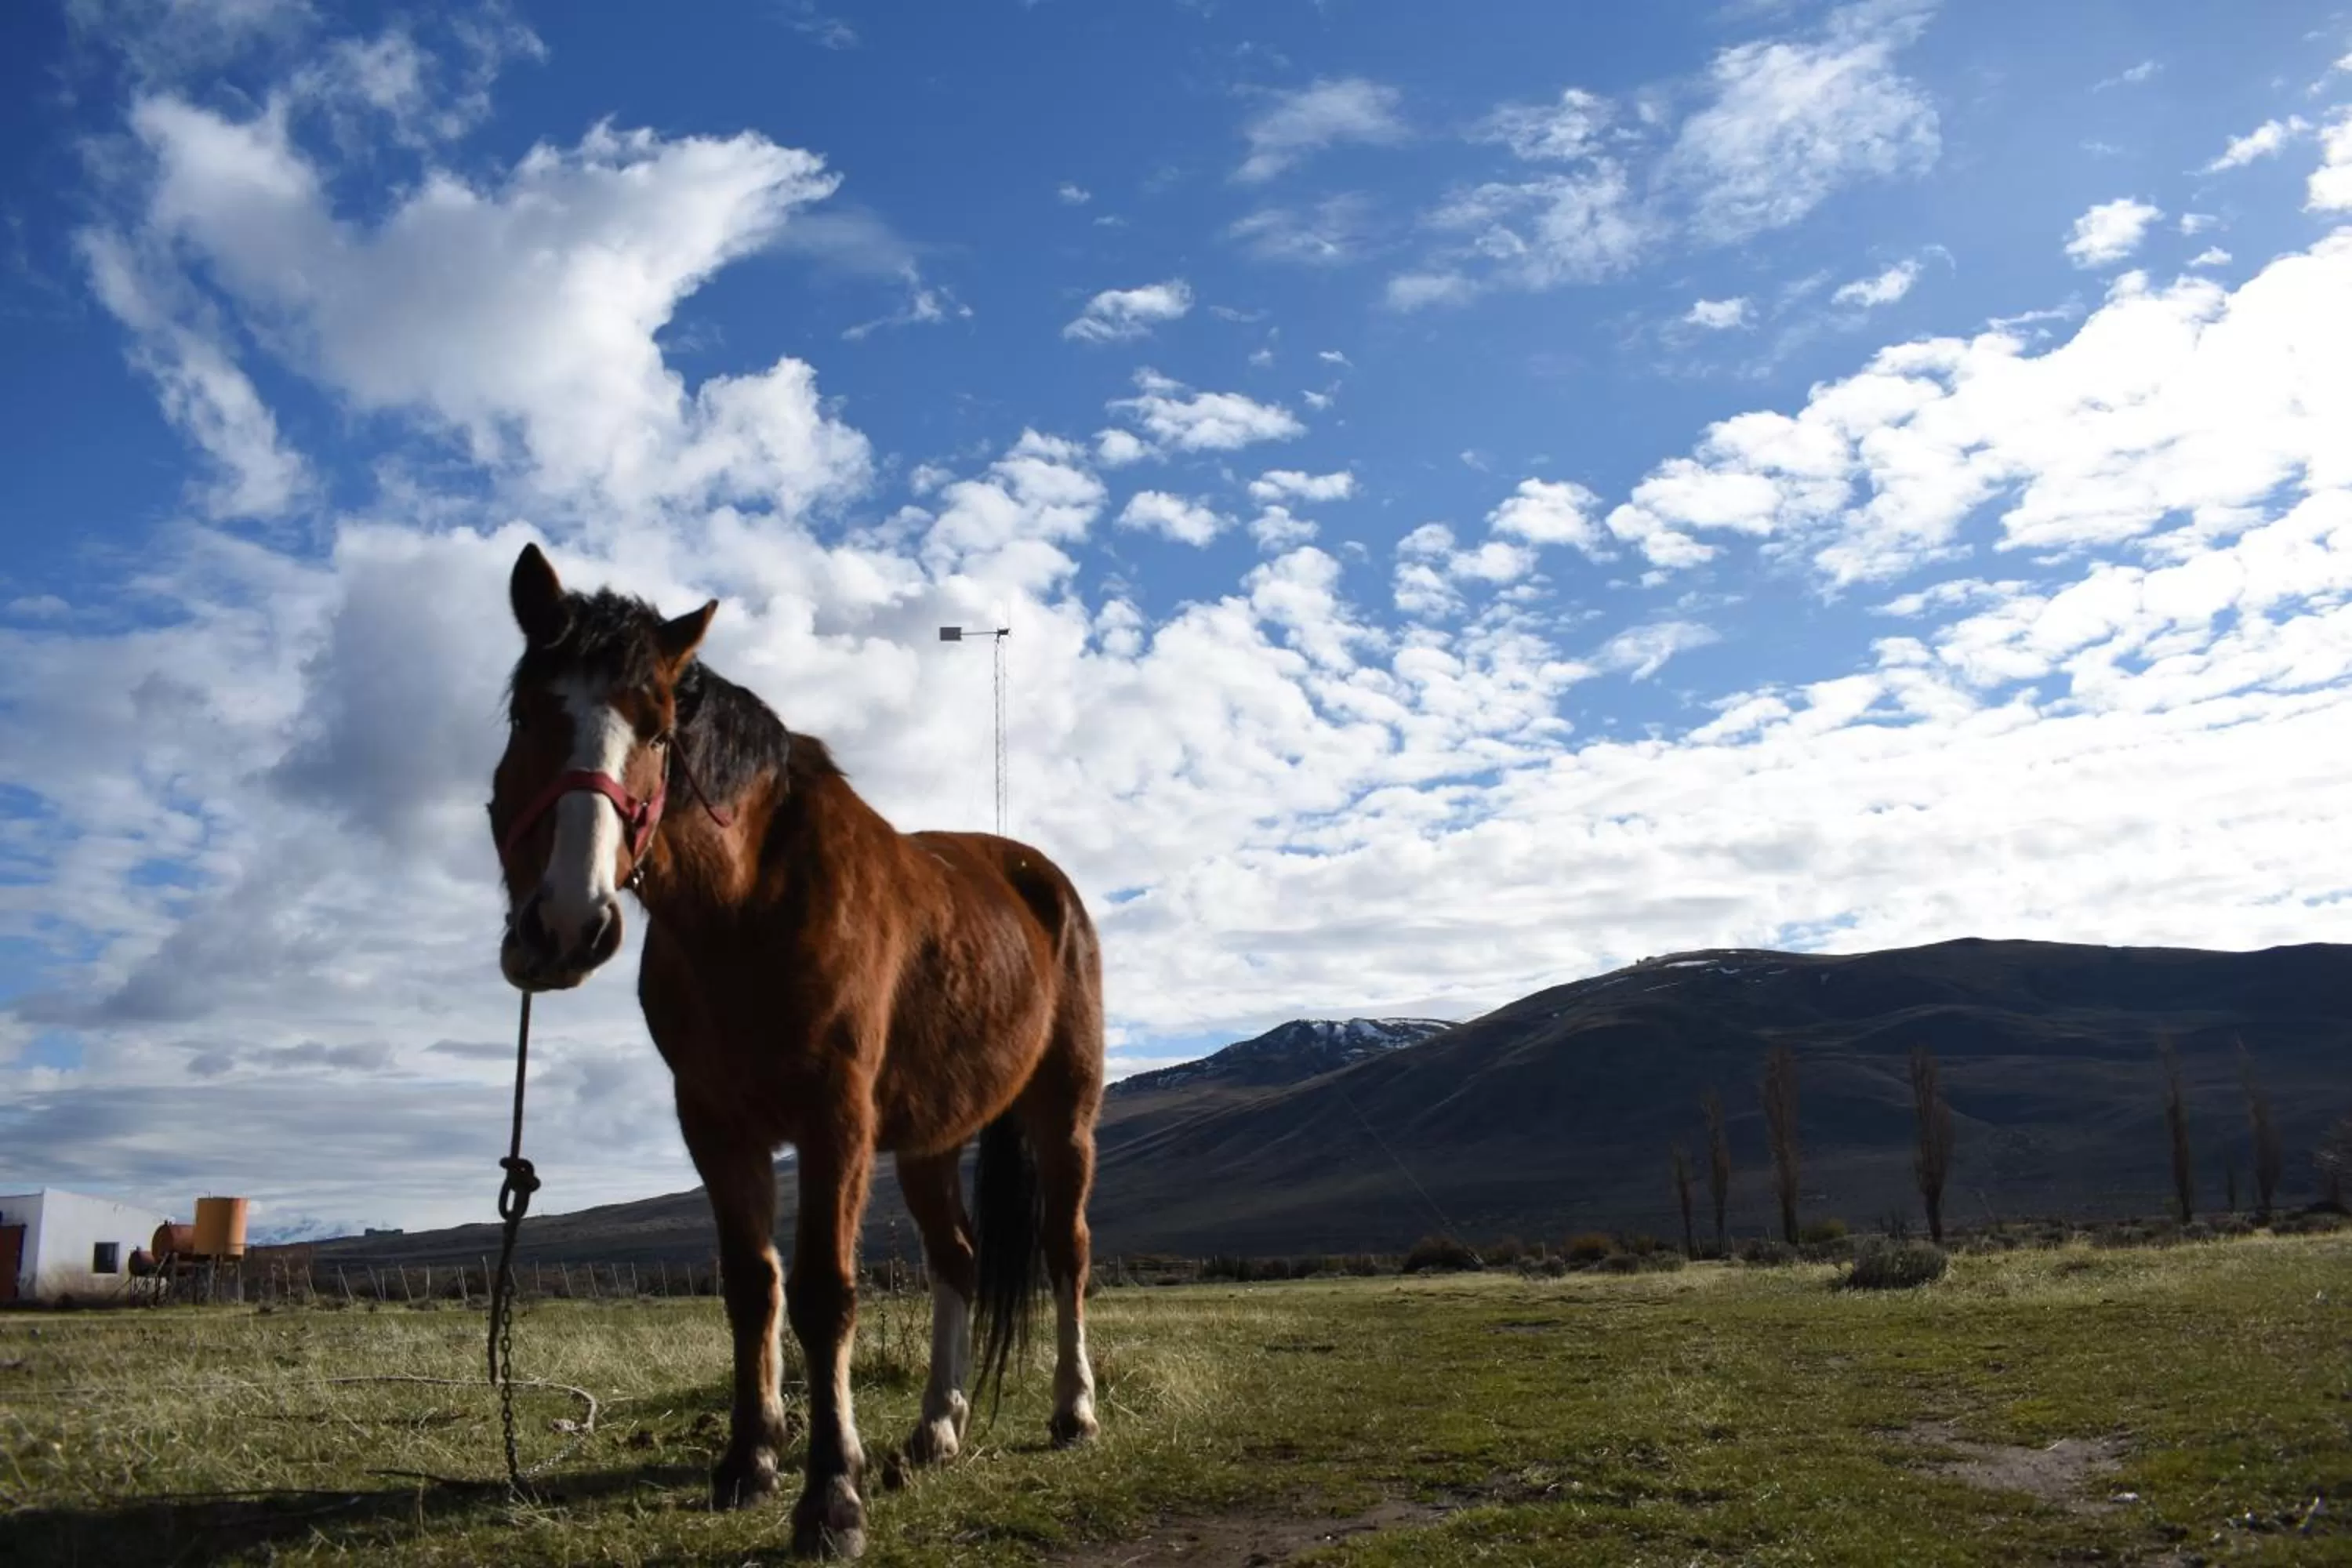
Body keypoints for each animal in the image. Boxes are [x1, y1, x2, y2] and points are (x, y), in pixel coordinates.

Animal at [485, 543, 1104, 1558]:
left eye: (658, 728)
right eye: (525, 712)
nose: (567, 924)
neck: (745, 908)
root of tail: (1042, 881)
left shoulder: (835, 1119)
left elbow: (823, 1293)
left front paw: (831, 1497)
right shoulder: (714, 1121)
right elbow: (752, 1286)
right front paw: (751, 1460)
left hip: (1064, 1115)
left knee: (1066, 1248)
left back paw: (1073, 1410)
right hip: (931, 1138)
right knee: (958, 1257)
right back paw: (936, 1426)